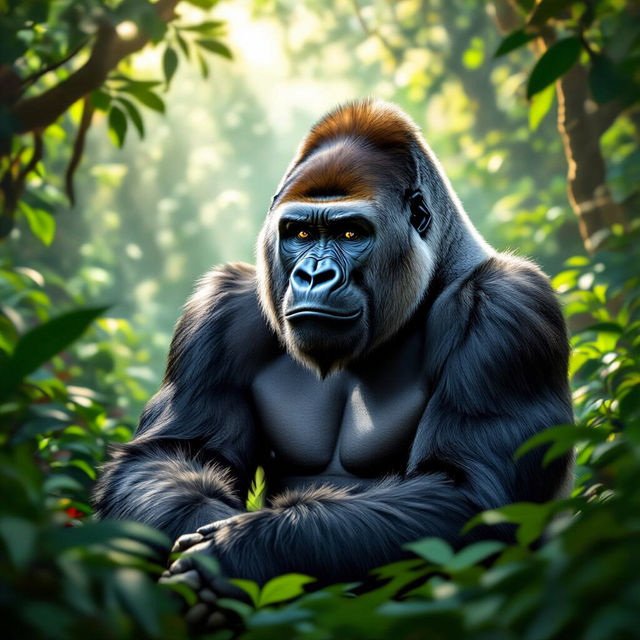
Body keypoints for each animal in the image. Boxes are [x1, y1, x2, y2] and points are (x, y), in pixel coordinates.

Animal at [93, 99, 573, 601]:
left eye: (350, 234)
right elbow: (171, 454)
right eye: (300, 235)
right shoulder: (220, 311)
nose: (313, 276)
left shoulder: (507, 306)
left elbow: (470, 492)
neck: (440, 269)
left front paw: (237, 549)